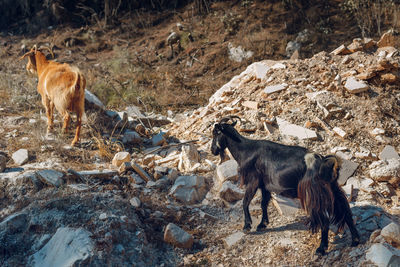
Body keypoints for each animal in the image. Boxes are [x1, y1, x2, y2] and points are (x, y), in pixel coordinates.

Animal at [211, 118, 360, 256]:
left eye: (216, 132)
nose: (213, 150)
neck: (246, 150)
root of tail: (324, 162)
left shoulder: (253, 181)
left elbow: (245, 202)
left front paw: (247, 226)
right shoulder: (265, 185)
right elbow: (264, 203)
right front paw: (262, 224)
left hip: (314, 193)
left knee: (324, 219)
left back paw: (321, 249)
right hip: (332, 187)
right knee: (345, 209)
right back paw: (355, 240)